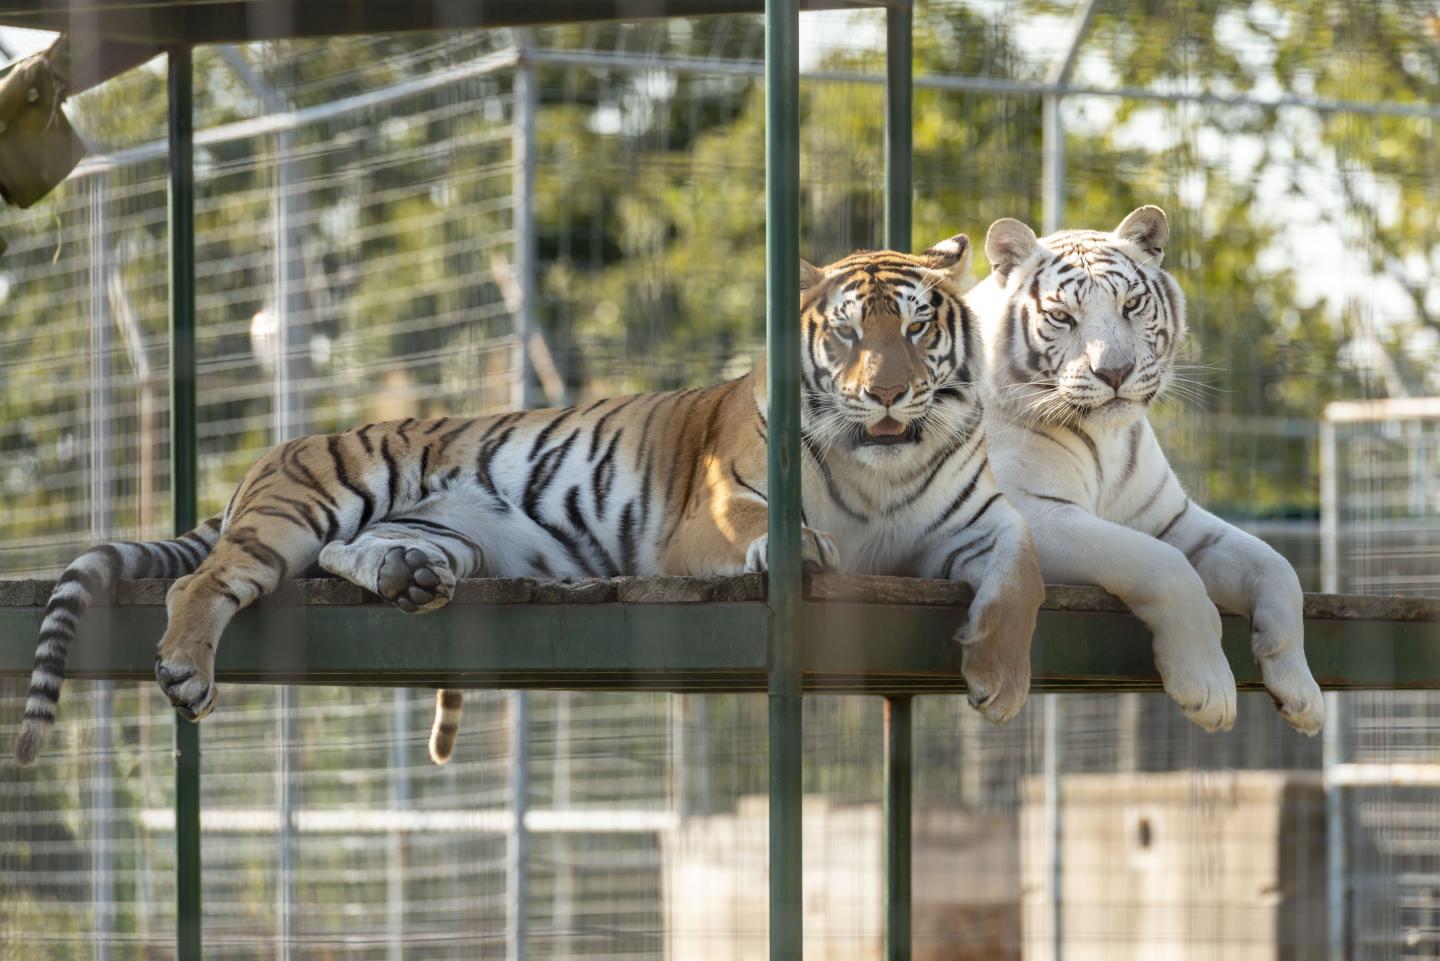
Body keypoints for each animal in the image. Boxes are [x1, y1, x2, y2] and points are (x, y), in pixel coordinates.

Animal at [15, 236, 1044, 766]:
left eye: (916, 328)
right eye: (845, 333)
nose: (887, 394)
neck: (882, 465)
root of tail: (278, 448)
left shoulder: (981, 523)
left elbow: (1025, 571)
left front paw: (998, 684)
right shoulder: (708, 514)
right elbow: (768, 523)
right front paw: (803, 551)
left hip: (447, 529)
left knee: (356, 556)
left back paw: (409, 576)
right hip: (319, 493)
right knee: (211, 578)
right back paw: (187, 667)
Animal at [964, 205, 1324, 735]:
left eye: (1131, 305)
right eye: (1061, 316)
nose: (1114, 371)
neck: (1107, 439)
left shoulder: (1173, 518)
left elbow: (1277, 567)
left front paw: (1302, 693)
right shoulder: (1038, 515)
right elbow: (1167, 566)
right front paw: (1209, 689)